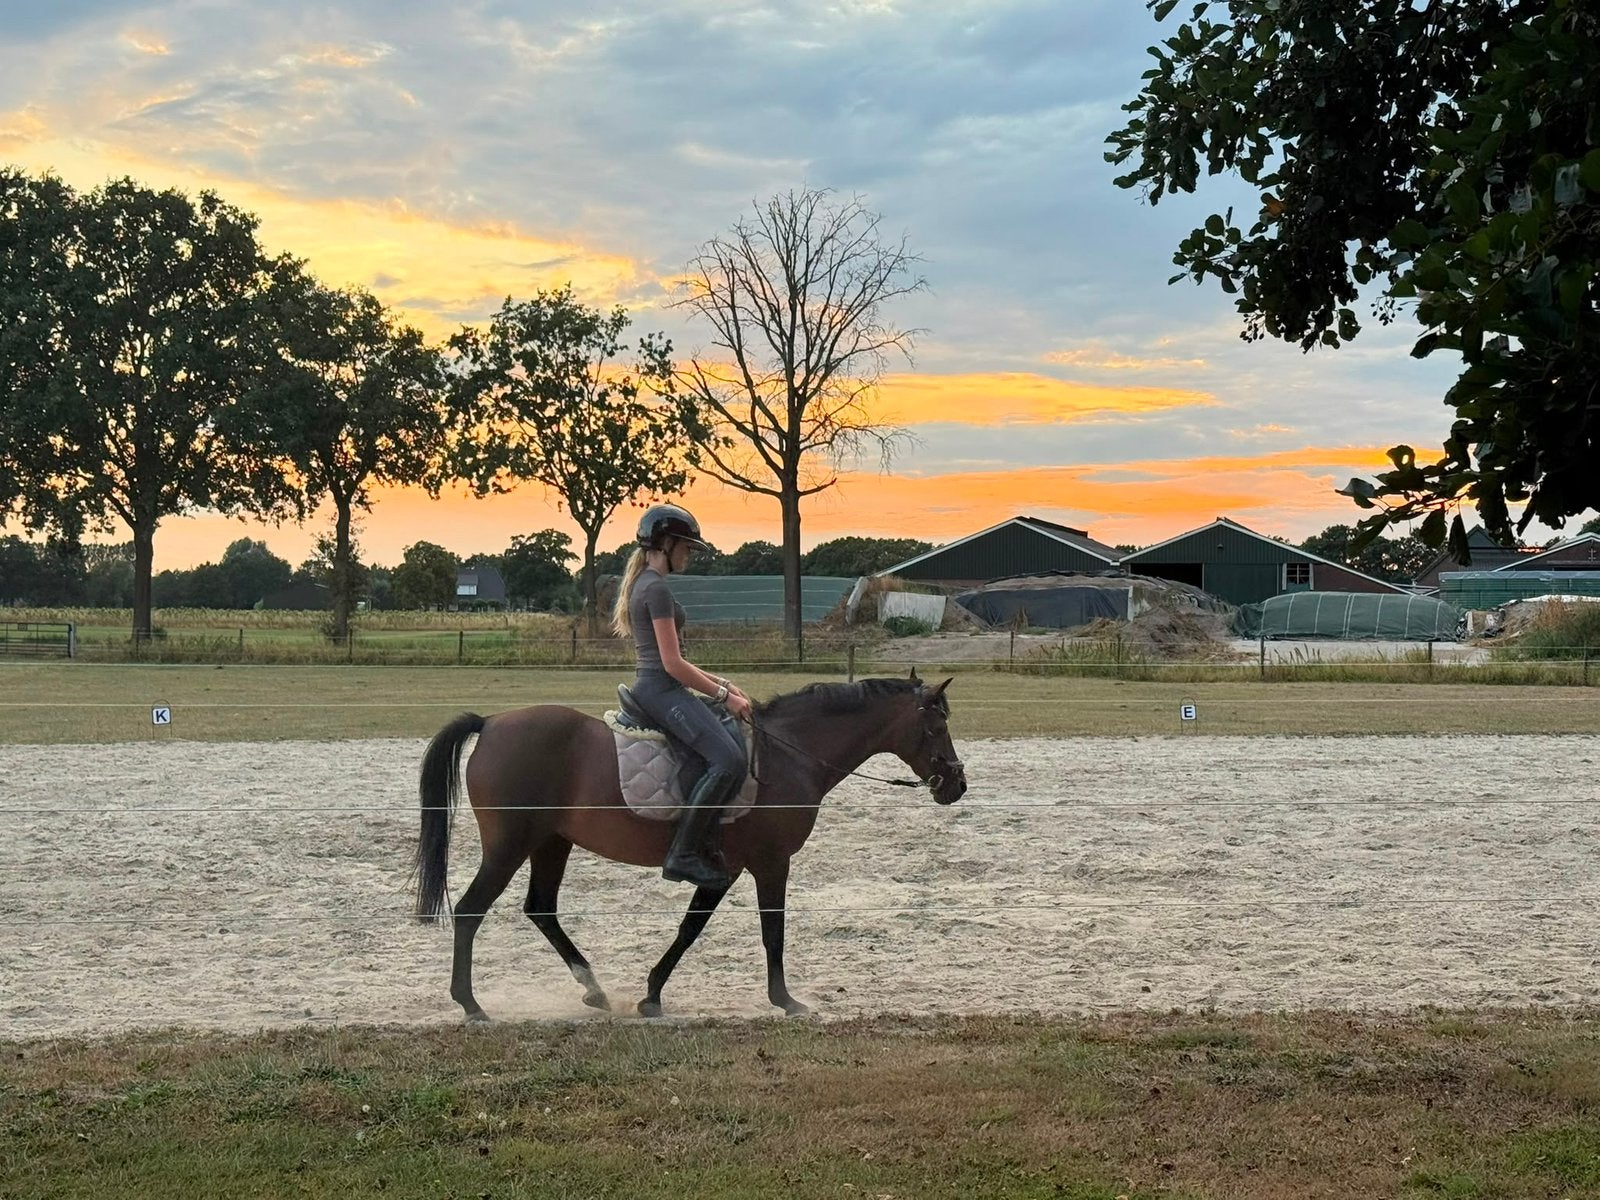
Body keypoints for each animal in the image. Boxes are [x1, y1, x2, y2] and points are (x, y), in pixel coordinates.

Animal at [412, 670, 967, 1021]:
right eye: (937, 725)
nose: (957, 785)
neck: (789, 755)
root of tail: (492, 723)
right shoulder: (769, 863)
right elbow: (772, 932)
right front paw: (785, 1000)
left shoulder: (722, 869)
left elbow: (689, 929)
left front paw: (652, 995)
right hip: (510, 846)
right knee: (471, 910)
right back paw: (470, 1004)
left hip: (551, 843)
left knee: (541, 909)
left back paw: (594, 990)